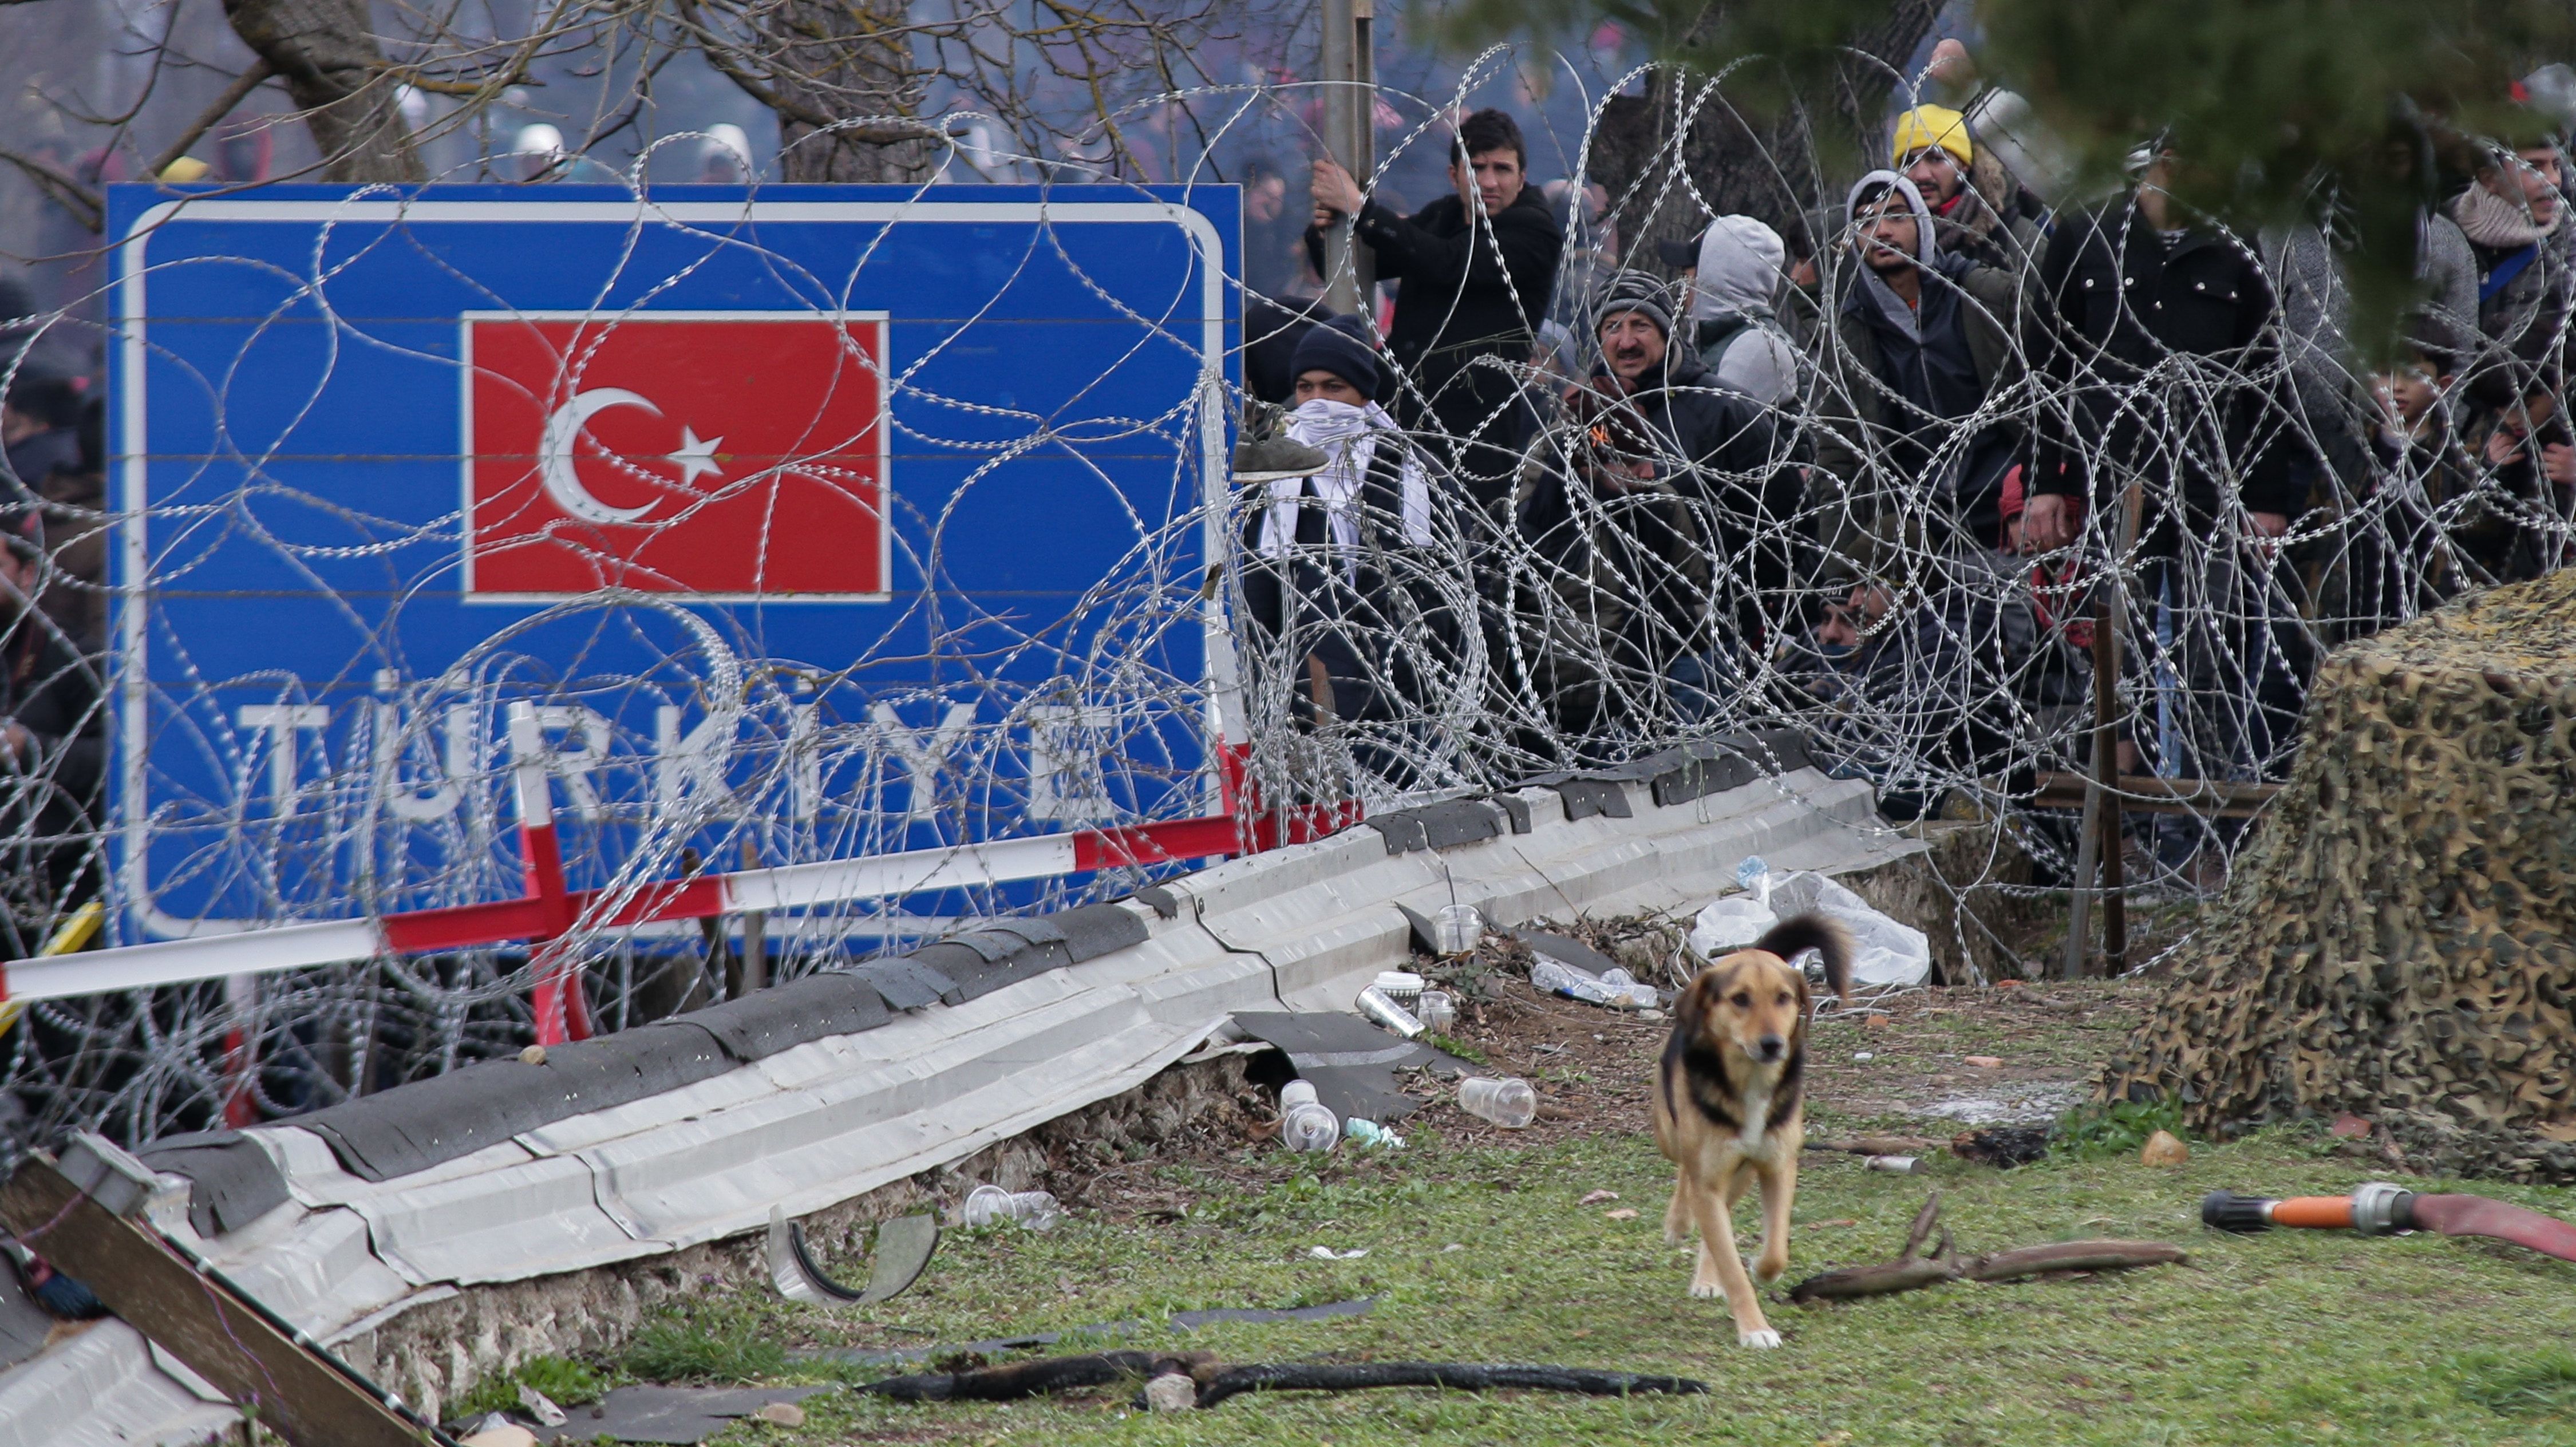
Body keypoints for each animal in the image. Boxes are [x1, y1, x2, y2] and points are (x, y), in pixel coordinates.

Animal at [1649, 911, 1855, 1339]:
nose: (1773, 1044)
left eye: (1784, 998)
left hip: (1742, 1172)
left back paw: (1707, 1276)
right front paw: (1755, 1330)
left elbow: (1775, 1251)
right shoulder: (1708, 1180)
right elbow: (1731, 1264)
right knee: (1684, 1171)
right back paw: (1678, 1223)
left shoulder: (1777, 1166)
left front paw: (1760, 1268)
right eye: (1740, 999)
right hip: (1670, 1136)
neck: (1751, 1084)